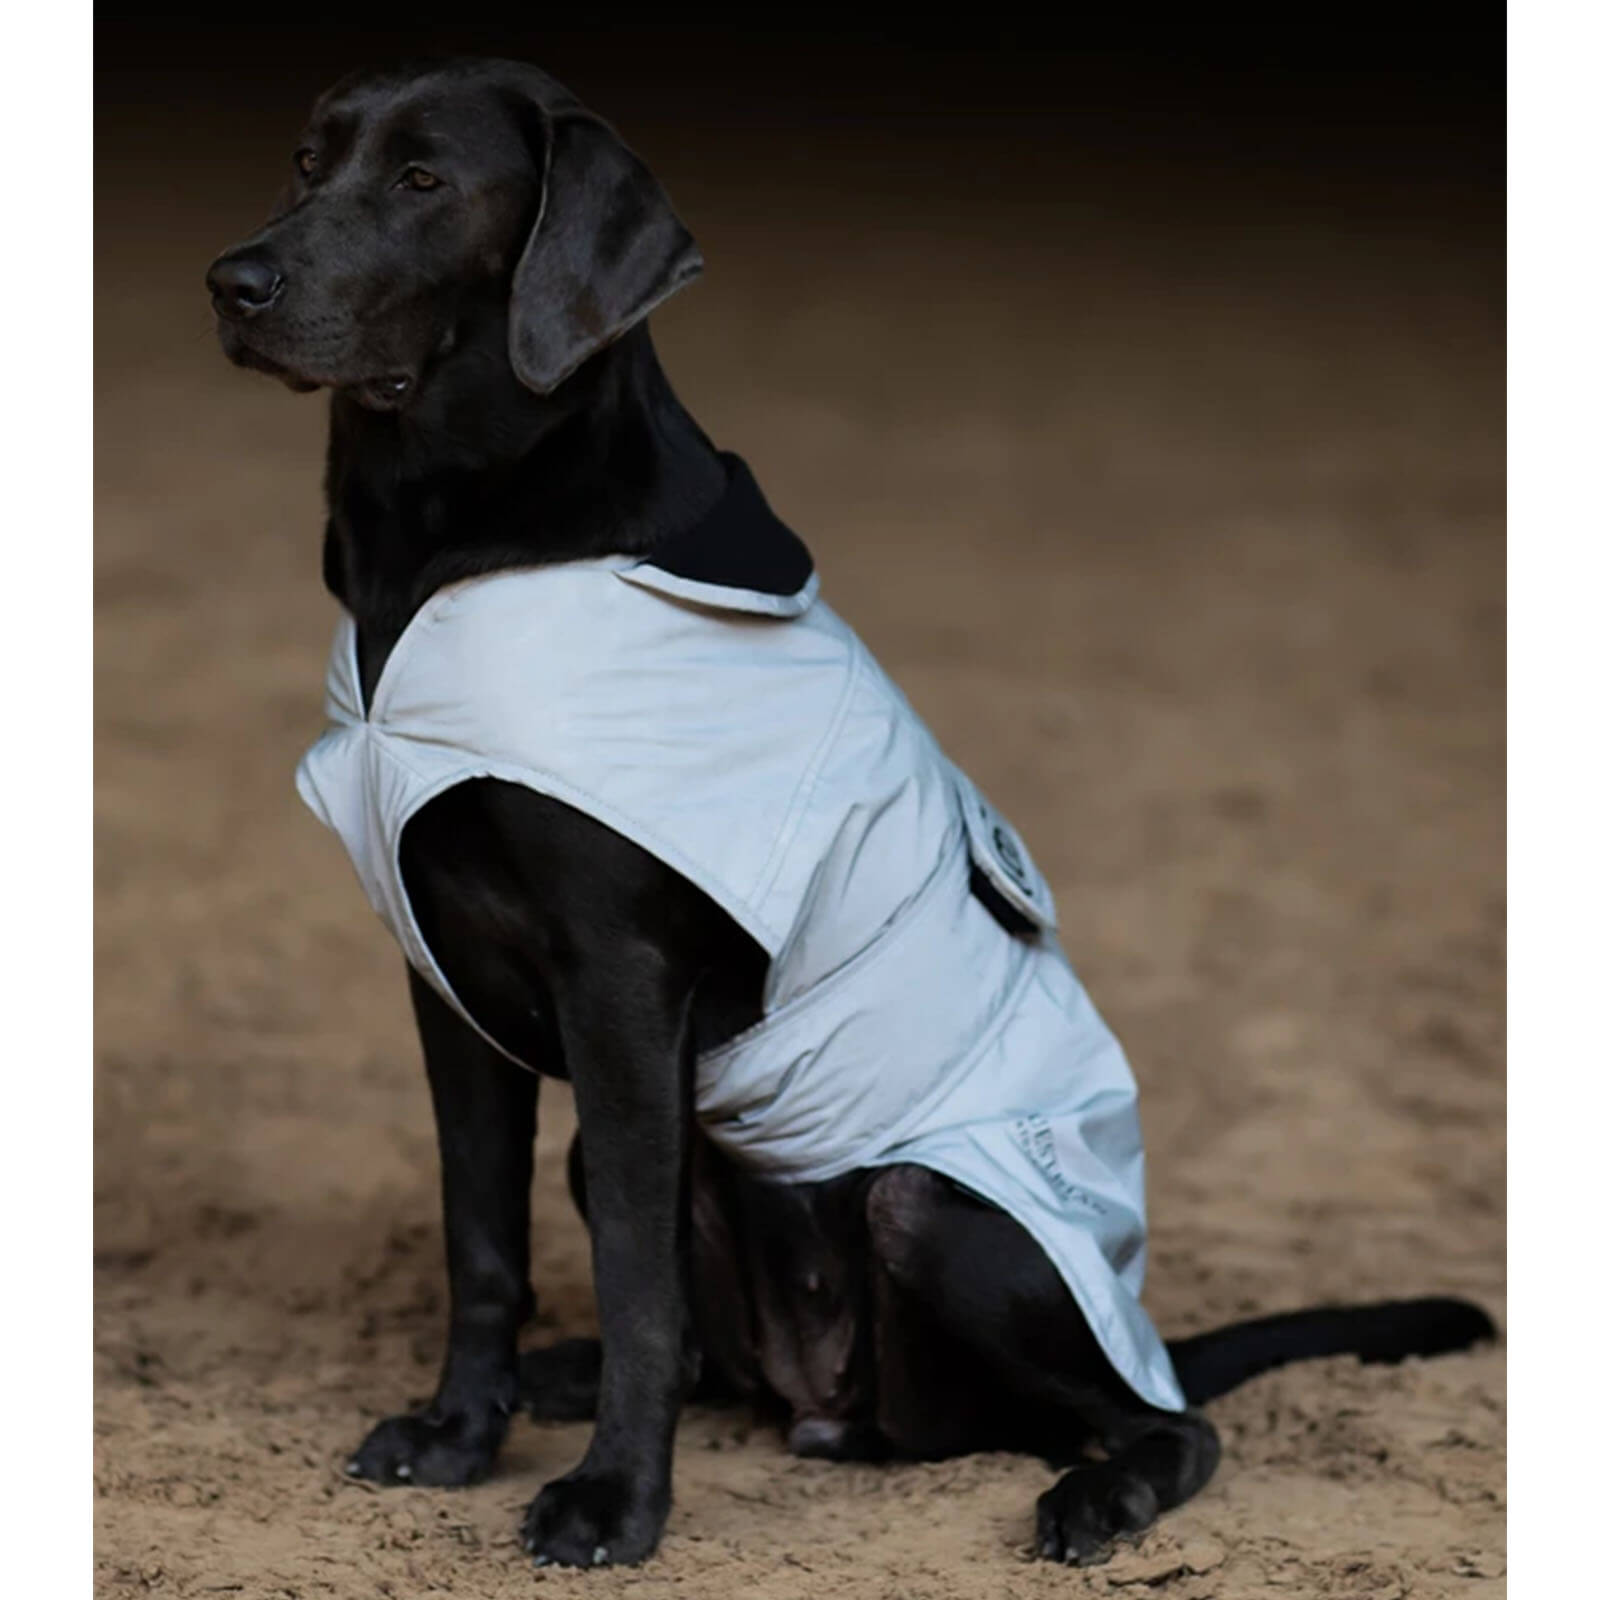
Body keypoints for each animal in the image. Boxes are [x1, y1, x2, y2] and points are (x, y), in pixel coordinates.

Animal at [206, 57, 1494, 1571]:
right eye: (307, 162)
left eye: (423, 181)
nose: (233, 281)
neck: (445, 553)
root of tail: (827, 1399)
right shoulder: (444, 981)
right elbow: (484, 1241)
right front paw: (462, 1434)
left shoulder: (620, 985)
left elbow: (635, 1280)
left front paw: (614, 1502)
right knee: (724, 1355)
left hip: (932, 1210)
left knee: (1155, 1419)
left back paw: (1097, 1494)